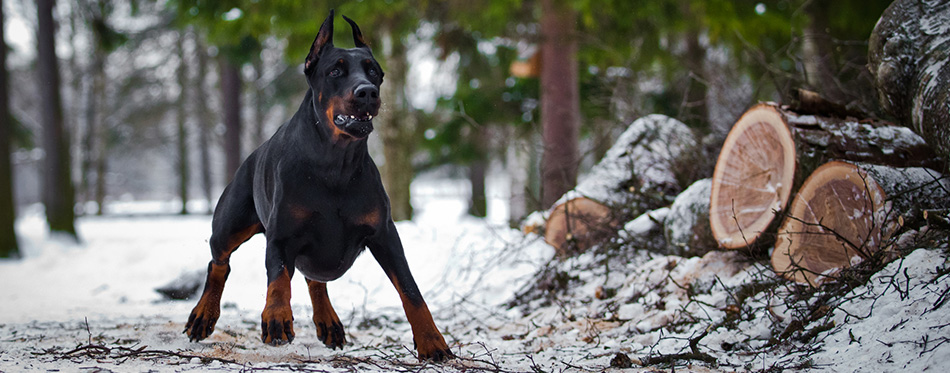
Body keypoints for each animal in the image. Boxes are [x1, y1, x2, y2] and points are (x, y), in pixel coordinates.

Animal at [185, 10, 458, 360]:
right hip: (231, 224)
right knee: (218, 262)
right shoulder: (282, 236)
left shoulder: (385, 234)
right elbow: (278, 279)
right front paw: (276, 318)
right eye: (336, 70)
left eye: (374, 71)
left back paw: (328, 321)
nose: (367, 92)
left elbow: (410, 290)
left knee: (314, 279)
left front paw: (432, 342)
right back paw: (203, 316)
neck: (335, 166)